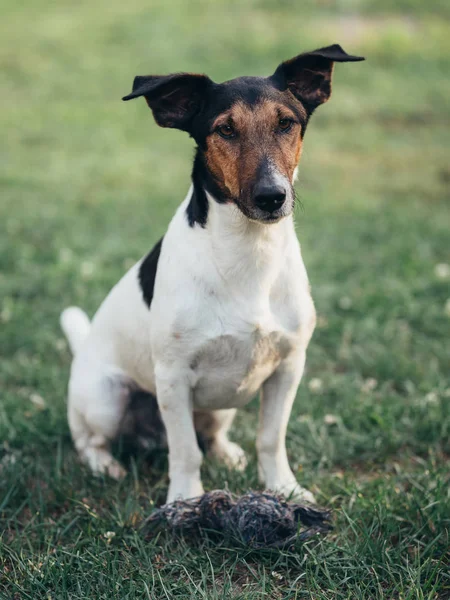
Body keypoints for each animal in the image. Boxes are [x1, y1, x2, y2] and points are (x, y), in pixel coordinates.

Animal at [60, 45, 362, 502]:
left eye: (286, 123)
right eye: (225, 130)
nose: (272, 196)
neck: (249, 252)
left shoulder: (289, 366)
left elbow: (270, 439)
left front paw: (284, 489)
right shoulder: (173, 377)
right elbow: (185, 453)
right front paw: (185, 501)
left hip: (218, 408)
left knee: (211, 434)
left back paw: (226, 452)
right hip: (106, 398)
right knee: (89, 440)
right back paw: (105, 465)